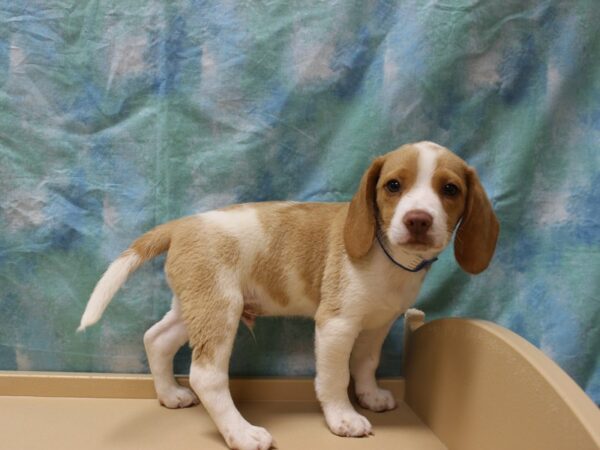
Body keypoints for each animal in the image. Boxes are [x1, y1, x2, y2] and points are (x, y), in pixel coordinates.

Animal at [81, 142, 502, 450]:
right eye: (393, 186)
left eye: (450, 190)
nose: (418, 220)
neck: (391, 259)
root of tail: (182, 224)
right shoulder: (336, 325)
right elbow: (334, 378)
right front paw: (343, 417)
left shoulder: (376, 325)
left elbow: (365, 364)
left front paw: (369, 395)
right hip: (221, 309)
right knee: (207, 375)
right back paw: (240, 433)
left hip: (194, 306)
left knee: (156, 339)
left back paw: (169, 394)